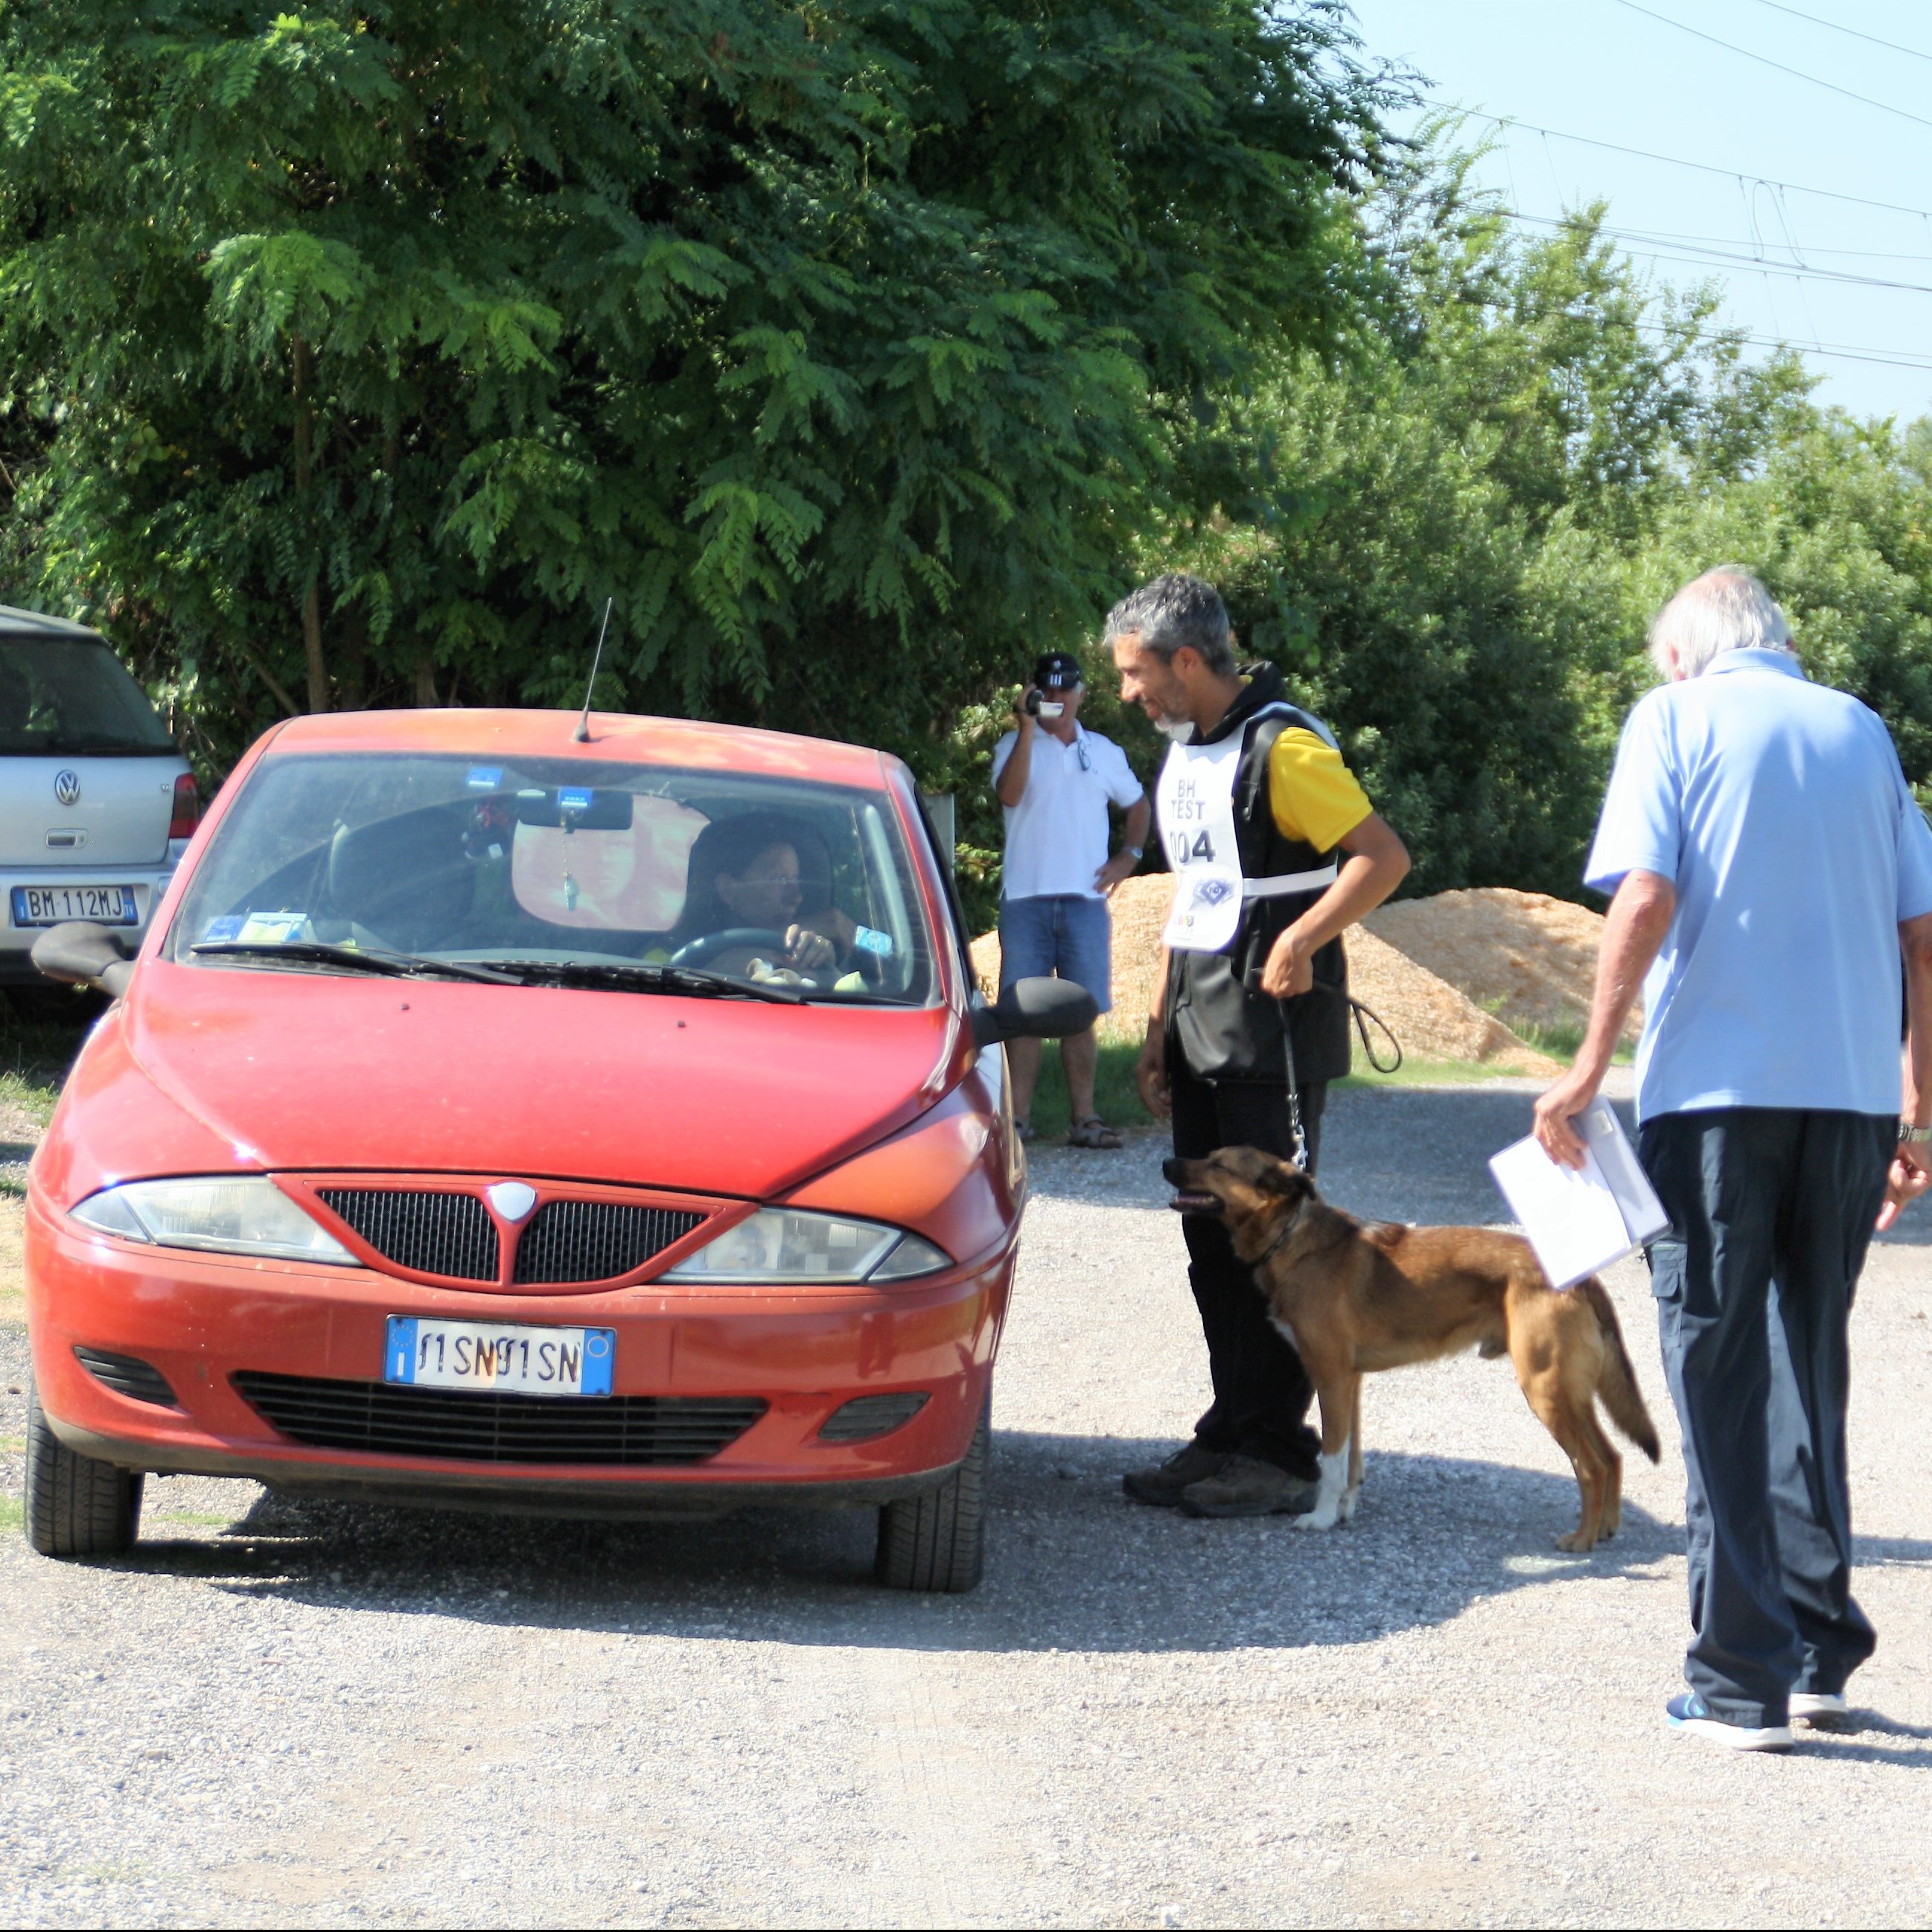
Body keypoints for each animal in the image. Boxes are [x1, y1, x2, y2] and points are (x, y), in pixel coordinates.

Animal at [1159, 1144, 1661, 1553]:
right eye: (1208, 1156)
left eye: (1218, 1165)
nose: (1166, 1162)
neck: (1292, 1236)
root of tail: (1582, 1278)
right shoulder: (1350, 1383)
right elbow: (1352, 1457)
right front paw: (1343, 1512)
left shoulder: (1331, 1376)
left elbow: (1332, 1458)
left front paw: (1320, 1518)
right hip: (1572, 1393)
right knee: (1612, 1457)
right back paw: (1606, 1529)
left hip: (1545, 1388)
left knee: (1592, 1466)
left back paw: (1581, 1540)